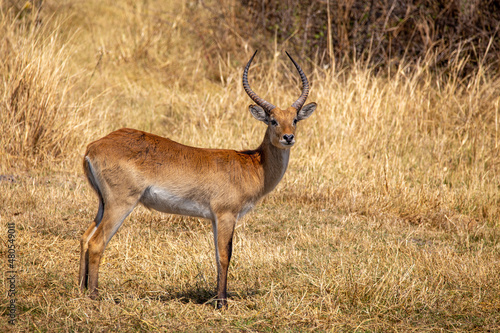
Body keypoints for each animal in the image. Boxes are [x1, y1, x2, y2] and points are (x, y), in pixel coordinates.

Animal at [78, 49, 316, 306]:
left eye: (294, 119)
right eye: (273, 120)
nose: (288, 137)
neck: (252, 164)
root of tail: (93, 146)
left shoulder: (213, 219)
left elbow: (216, 255)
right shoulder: (226, 215)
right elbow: (225, 256)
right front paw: (222, 303)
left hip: (103, 203)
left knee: (85, 237)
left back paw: (81, 289)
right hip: (121, 203)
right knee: (96, 242)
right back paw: (94, 295)